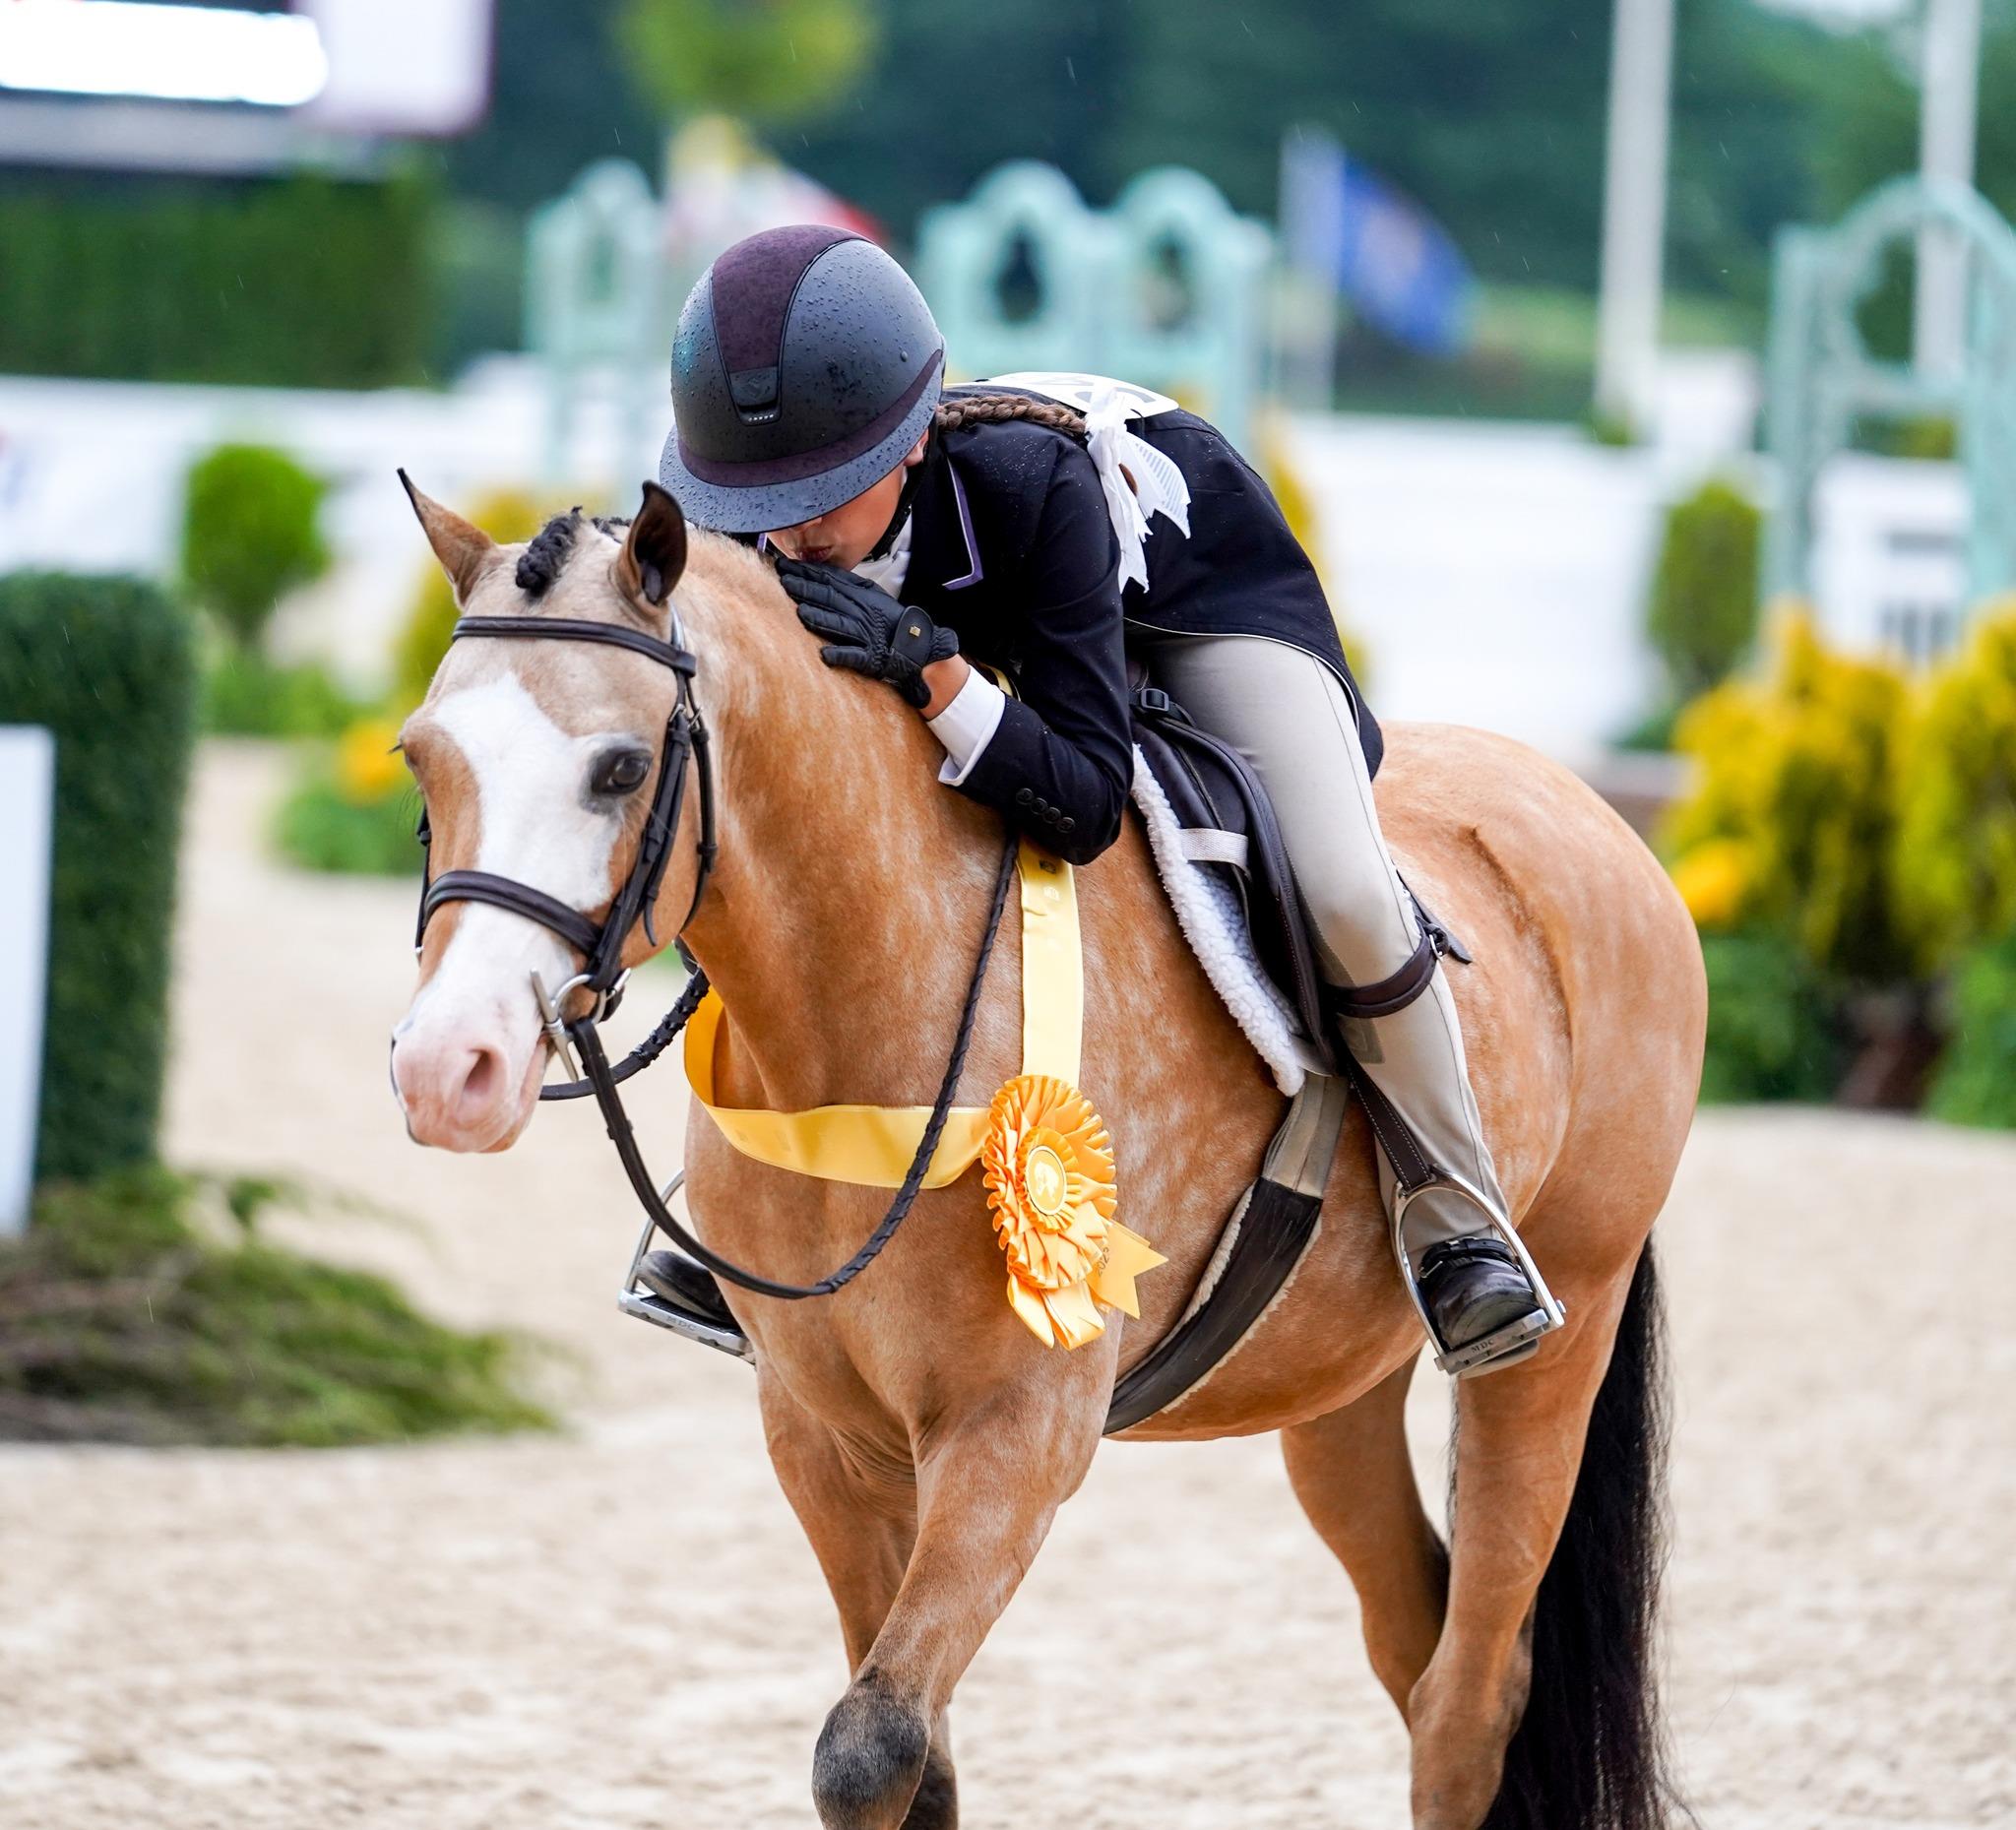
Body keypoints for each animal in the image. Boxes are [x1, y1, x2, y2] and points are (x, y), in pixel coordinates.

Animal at [389, 481, 1706, 1830]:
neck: (858, 1007)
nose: (447, 1067)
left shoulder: (1014, 1433)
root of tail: (1587, 812)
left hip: (1556, 1335)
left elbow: (868, 1742)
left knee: (1465, 1699)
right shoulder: (821, 1434)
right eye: (420, 756)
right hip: (1333, 1378)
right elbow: (914, 1760)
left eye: (621, 766)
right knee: (1413, 1640)